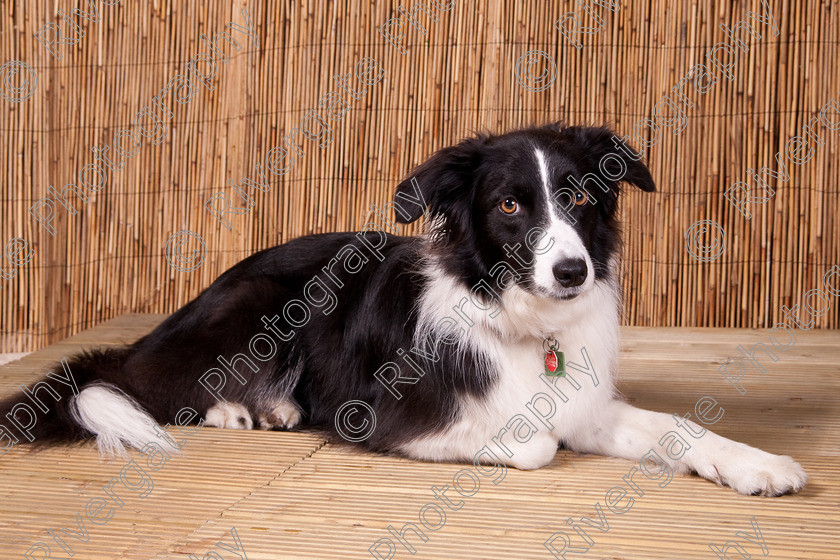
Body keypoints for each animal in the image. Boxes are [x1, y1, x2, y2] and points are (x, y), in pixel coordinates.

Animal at [0, 122, 808, 494]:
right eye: (510, 205)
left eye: (579, 197)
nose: (572, 271)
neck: (518, 321)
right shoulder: (385, 417)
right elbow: (535, 445)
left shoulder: (583, 400)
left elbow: (677, 428)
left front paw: (756, 463)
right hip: (252, 309)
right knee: (138, 384)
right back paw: (237, 407)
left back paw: (269, 407)